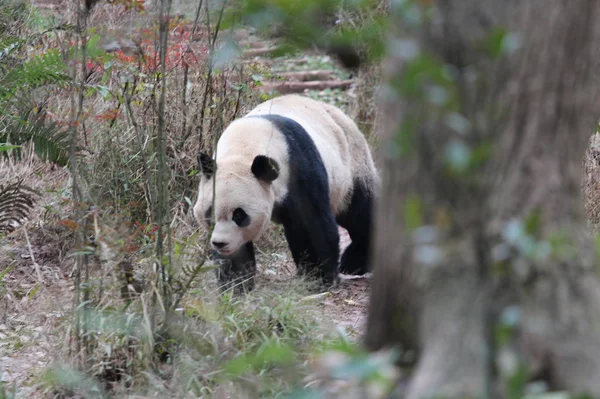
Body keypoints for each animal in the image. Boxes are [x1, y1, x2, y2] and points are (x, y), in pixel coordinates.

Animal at [195, 94, 378, 294]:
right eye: (210, 213)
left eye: (239, 215)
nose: (220, 243)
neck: (244, 147)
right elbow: (237, 251)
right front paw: (235, 286)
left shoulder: (298, 168)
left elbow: (310, 225)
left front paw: (319, 279)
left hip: (352, 163)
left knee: (359, 210)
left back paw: (355, 262)